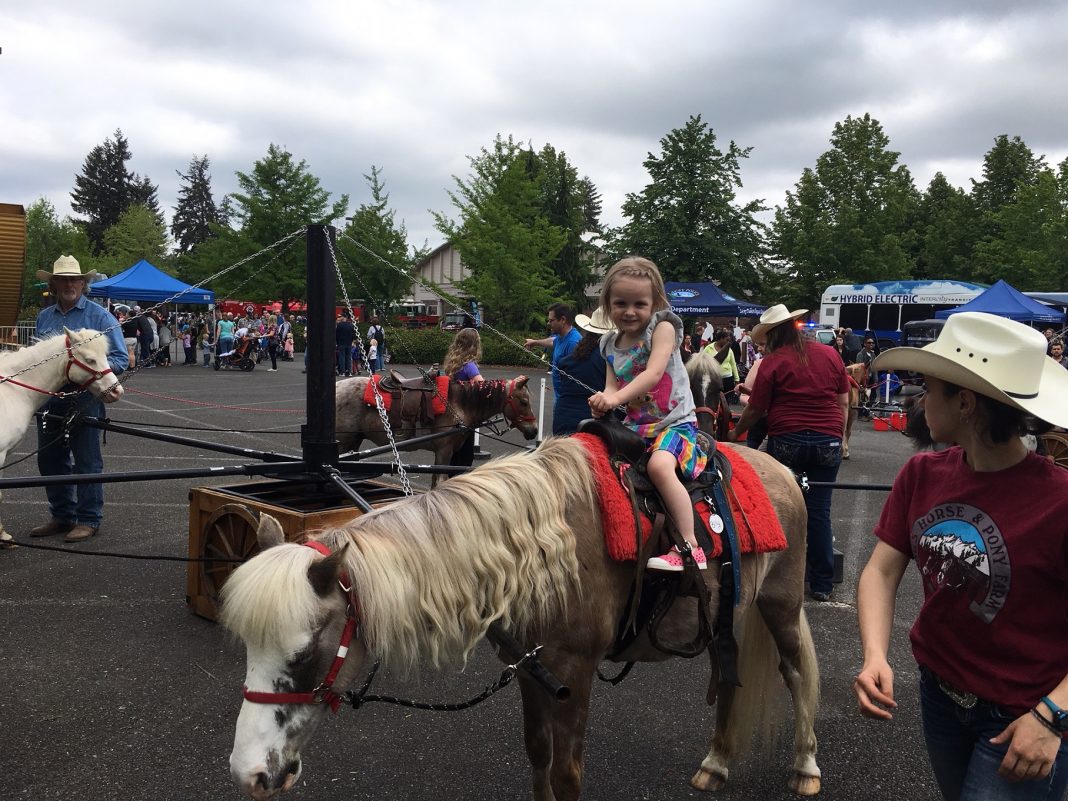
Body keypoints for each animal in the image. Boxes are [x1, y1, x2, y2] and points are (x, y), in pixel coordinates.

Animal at [216, 440, 815, 801]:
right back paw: (717, 763)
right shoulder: (529, 669)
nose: (249, 773)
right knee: (729, 679)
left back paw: (805, 767)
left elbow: (568, 773)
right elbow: (538, 753)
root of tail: (784, 470)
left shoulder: (574, 675)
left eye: (305, 653)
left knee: (796, 674)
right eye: (246, 648)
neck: (538, 551)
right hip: (722, 618)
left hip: (781, 604)